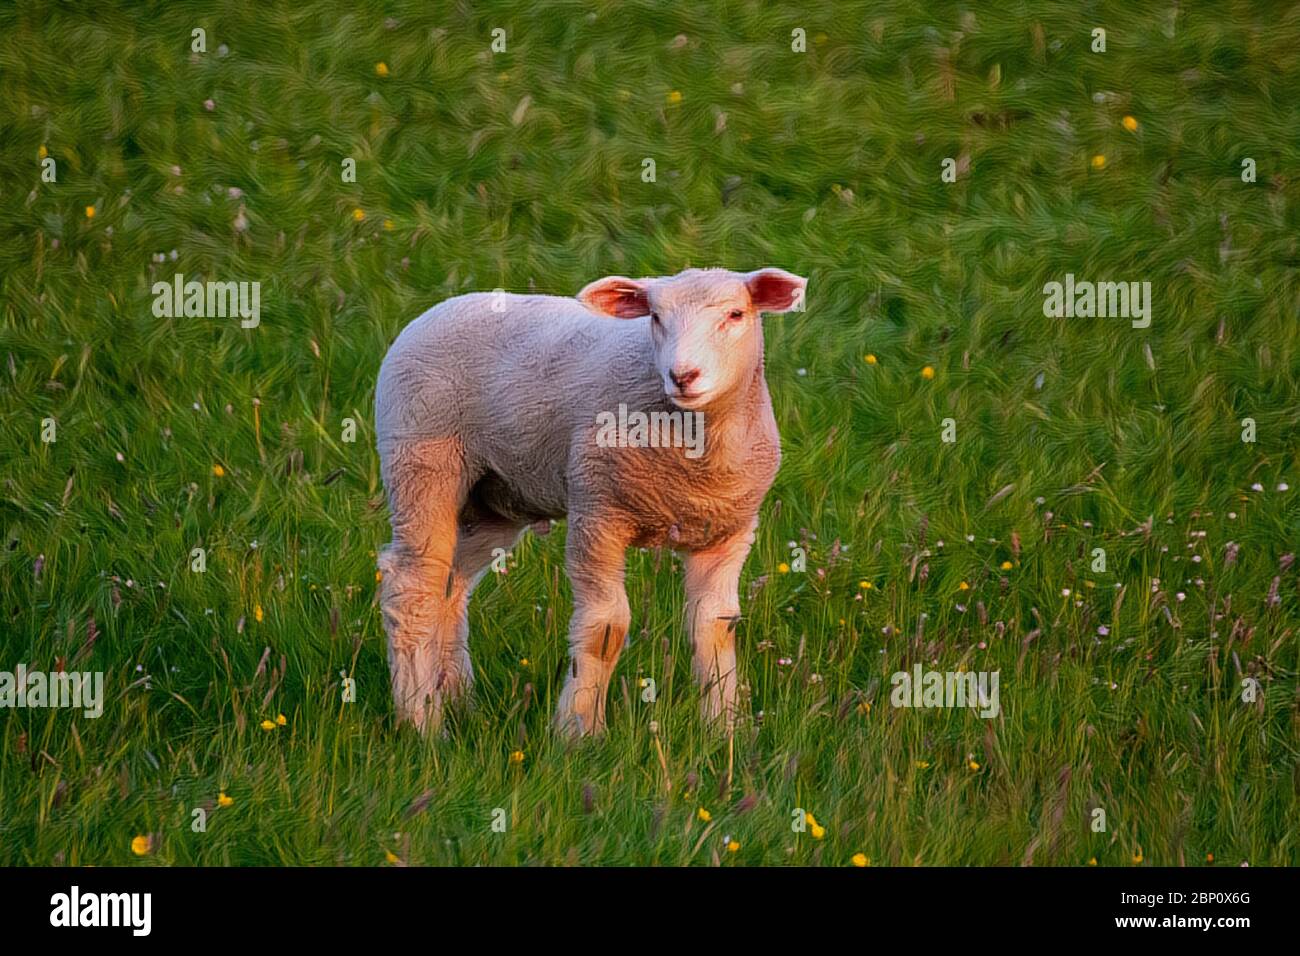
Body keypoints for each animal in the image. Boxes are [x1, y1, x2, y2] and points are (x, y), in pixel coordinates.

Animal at [374, 267, 807, 735]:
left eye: (735, 314)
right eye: (655, 317)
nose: (683, 375)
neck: (698, 452)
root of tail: (439, 308)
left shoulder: (728, 533)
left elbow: (714, 625)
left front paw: (725, 726)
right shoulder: (598, 512)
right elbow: (606, 628)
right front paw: (577, 730)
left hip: (494, 498)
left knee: (450, 587)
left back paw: (459, 702)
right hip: (421, 461)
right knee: (412, 588)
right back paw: (423, 721)